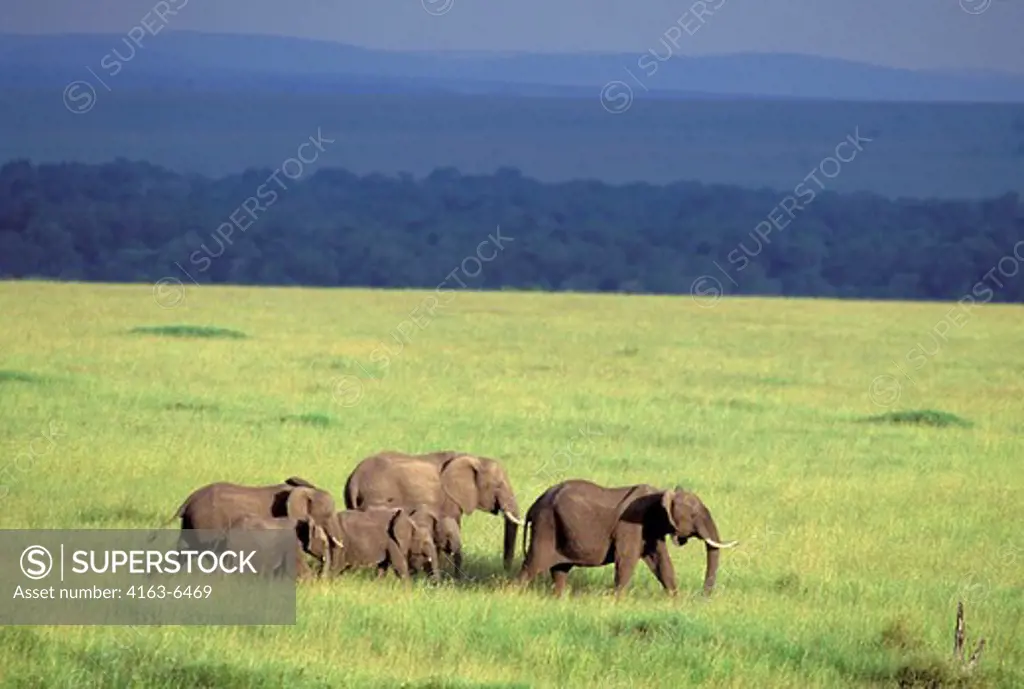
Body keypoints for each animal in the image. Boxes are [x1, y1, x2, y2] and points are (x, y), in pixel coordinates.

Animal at [344, 448, 524, 573]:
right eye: (498, 486)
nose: (505, 570)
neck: (474, 458)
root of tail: (354, 479)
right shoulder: (451, 500)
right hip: (377, 498)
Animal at [520, 479, 737, 597]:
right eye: (693, 516)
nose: (702, 596)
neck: (660, 494)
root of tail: (534, 505)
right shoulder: (631, 525)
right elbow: (626, 560)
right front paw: (617, 601)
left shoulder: (651, 531)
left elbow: (662, 562)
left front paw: (676, 600)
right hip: (546, 526)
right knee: (532, 566)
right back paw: (515, 593)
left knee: (560, 570)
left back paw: (558, 599)